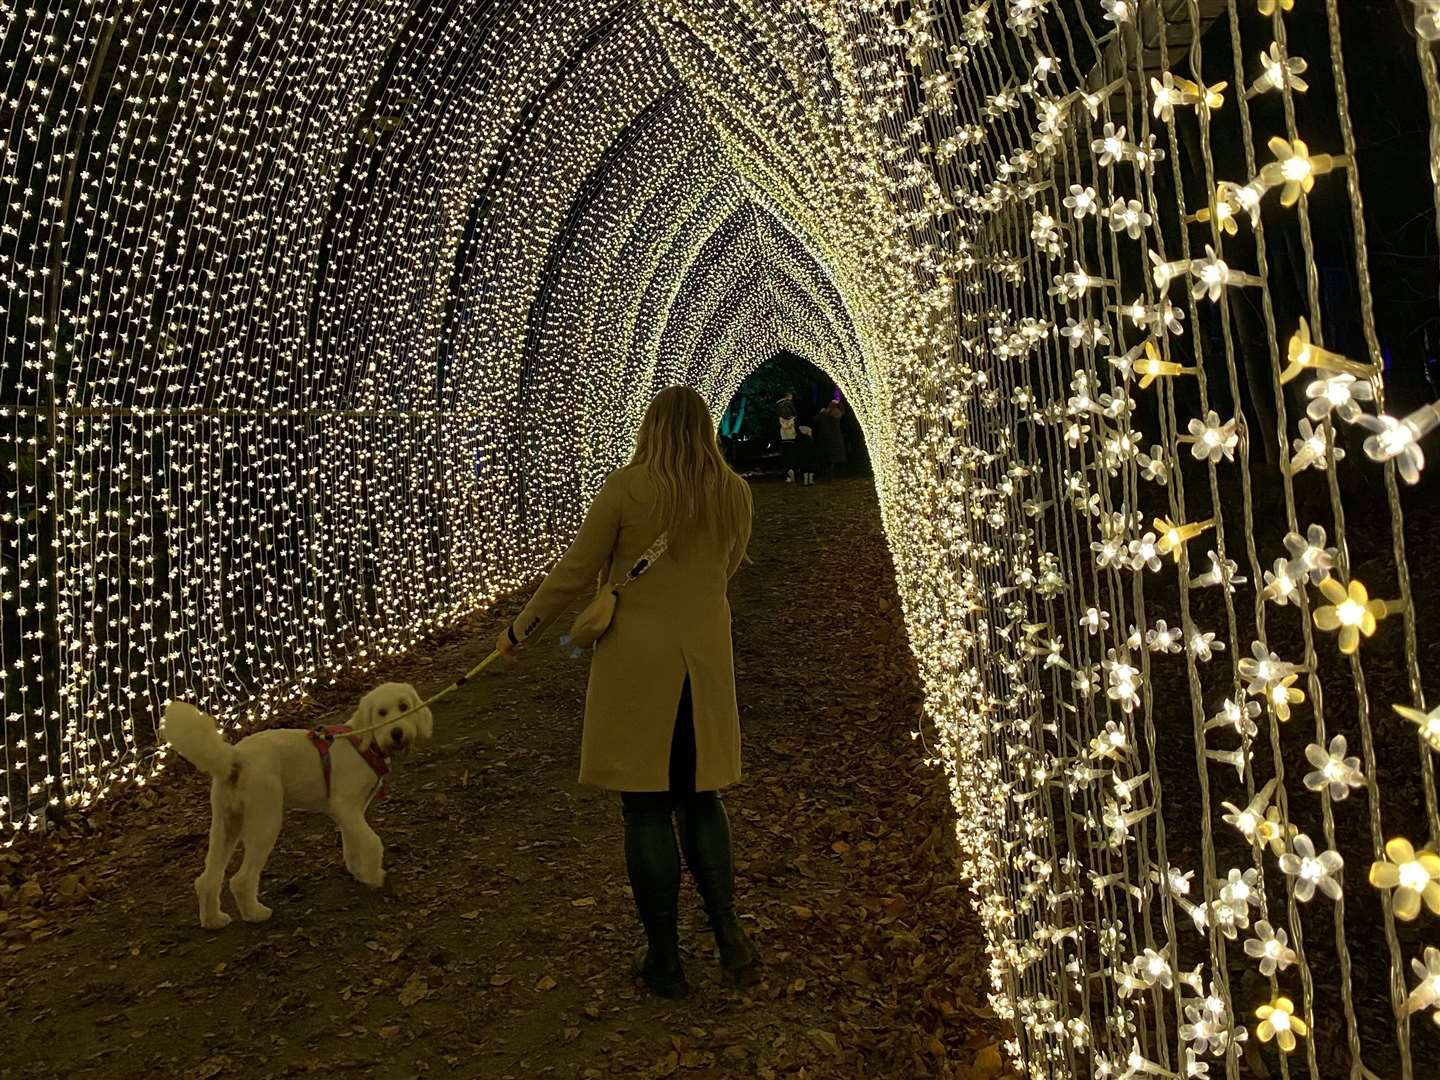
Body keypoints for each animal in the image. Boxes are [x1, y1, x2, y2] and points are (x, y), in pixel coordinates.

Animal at [162, 685, 432, 933]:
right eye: (381, 712)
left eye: (404, 706)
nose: (397, 733)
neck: (363, 743)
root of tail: (235, 757)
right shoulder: (345, 806)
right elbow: (373, 842)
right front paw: (375, 876)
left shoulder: (349, 812)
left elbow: (353, 843)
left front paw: (359, 872)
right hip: (265, 822)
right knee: (241, 880)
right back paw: (255, 914)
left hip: (226, 824)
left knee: (207, 880)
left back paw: (213, 920)